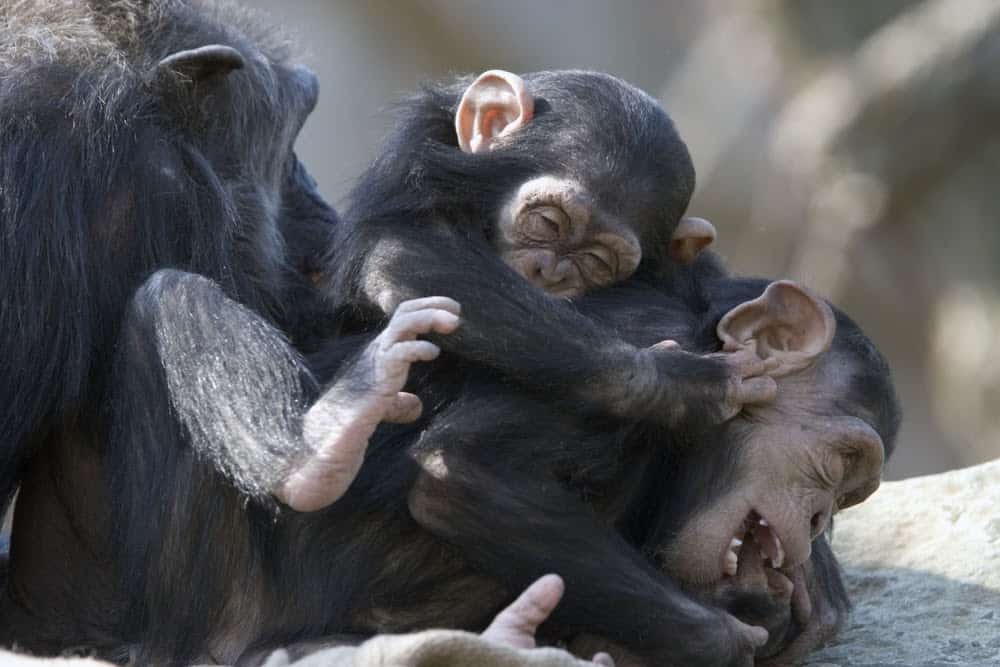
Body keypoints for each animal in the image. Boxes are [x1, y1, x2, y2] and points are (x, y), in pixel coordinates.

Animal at [0, 247, 904, 667]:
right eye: (843, 462)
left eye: (852, 498)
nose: (818, 520)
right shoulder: (645, 349)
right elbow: (464, 474)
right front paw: (728, 636)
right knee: (168, 299)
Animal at [326, 68, 772, 434]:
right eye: (547, 222)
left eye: (597, 260)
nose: (550, 273)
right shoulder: (416, 158)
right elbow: (407, 256)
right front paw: (672, 383)